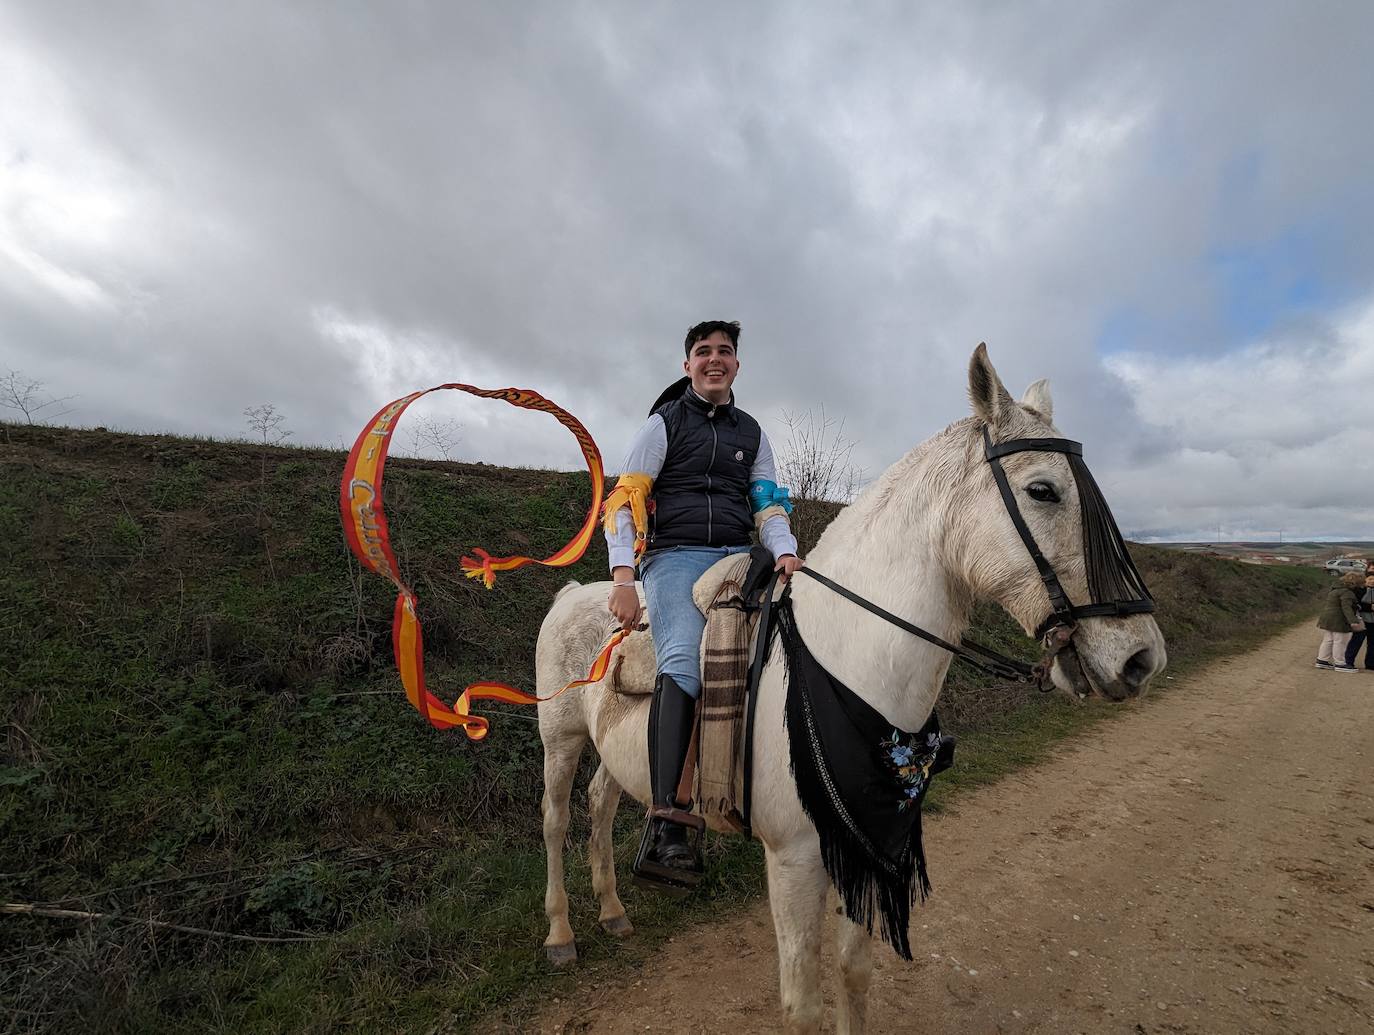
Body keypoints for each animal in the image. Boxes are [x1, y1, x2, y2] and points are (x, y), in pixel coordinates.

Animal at [530, 349, 1165, 1033]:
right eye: (1043, 490)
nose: (1142, 657)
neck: (842, 662)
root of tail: (574, 594)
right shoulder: (794, 861)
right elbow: (803, 1006)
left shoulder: (862, 843)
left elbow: (855, 973)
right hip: (560, 741)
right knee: (556, 818)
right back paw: (561, 934)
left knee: (600, 804)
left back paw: (613, 911)